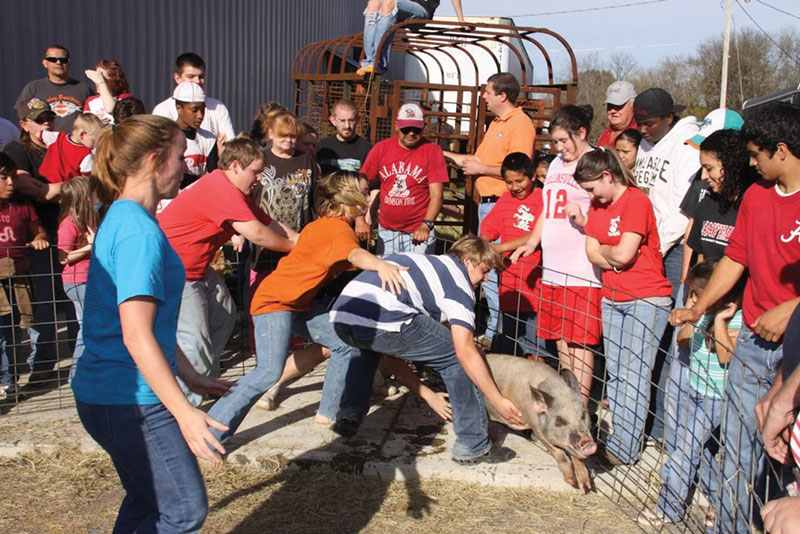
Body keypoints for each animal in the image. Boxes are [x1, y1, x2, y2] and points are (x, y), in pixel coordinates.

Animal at [484, 354, 596, 492]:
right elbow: (560, 454)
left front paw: (586, 487)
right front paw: (572, 482)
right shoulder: (536, 427)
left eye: (583, 414)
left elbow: (576, 456)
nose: (587, 441)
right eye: (559, 420)